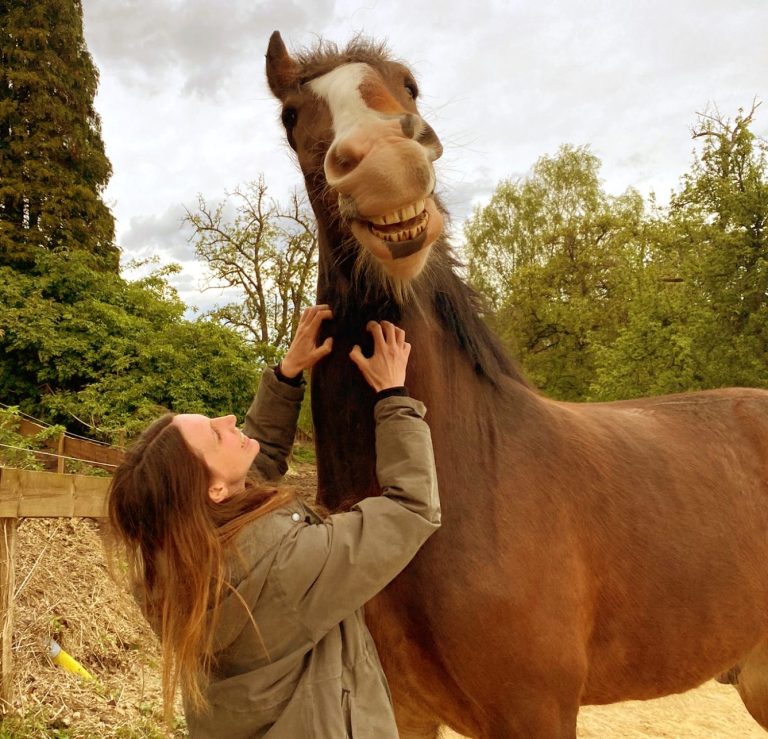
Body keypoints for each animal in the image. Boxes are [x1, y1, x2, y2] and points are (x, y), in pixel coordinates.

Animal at [264, 30, 768, 739]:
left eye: (409, 84)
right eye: (290, 115)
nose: (386, 162)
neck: (471, 480)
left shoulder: (537, 713)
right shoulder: (404, 709)